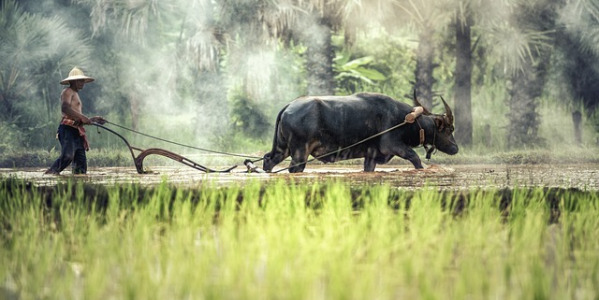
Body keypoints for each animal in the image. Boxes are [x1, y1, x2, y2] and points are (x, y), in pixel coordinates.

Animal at [262, 92, 460, 173]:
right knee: (294, 168)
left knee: (268, 160)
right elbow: (416, 159)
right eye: (449, 129)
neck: (407, 120)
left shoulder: (371, 156)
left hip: (282, 148)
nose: (455, 148)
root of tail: (289, 106)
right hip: (299, 152)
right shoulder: (393, 146)